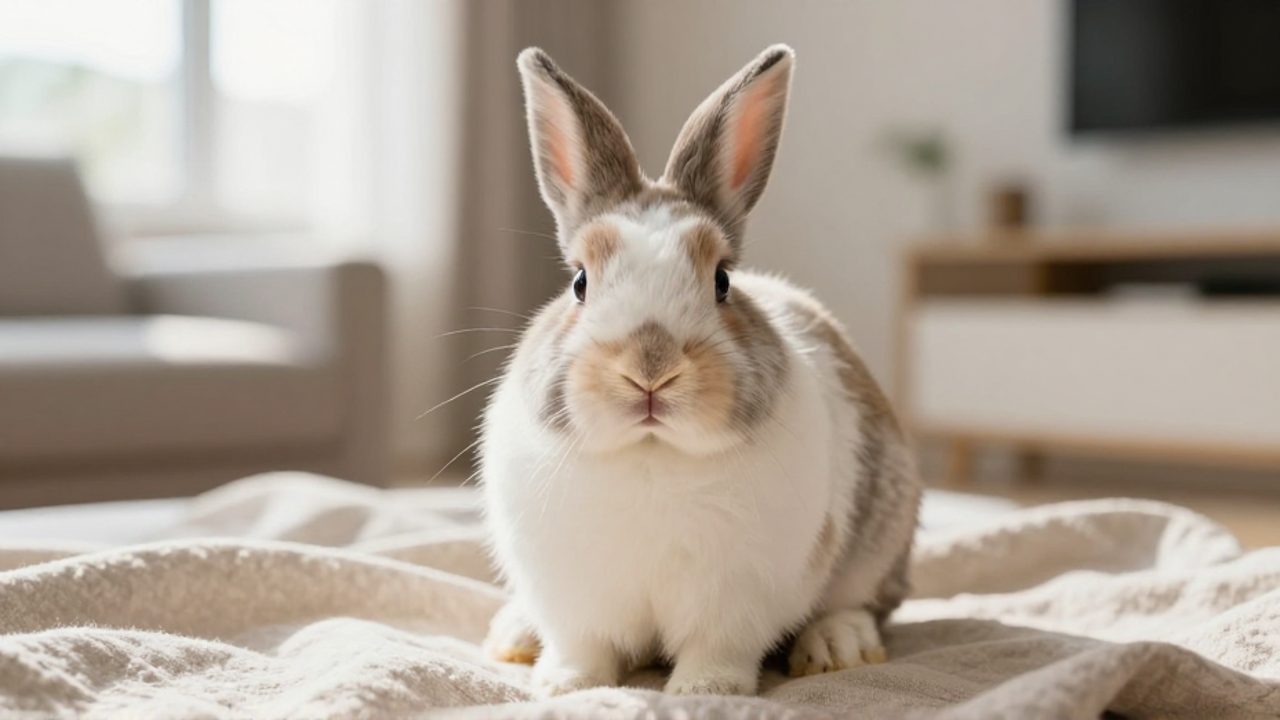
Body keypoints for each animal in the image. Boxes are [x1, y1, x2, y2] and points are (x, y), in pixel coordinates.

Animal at [481, 44, 922, 697]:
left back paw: (835, 646)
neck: (652, 453)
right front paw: (566, 687)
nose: (650, 368)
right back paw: (512, 636)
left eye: (722, 281)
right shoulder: (573, 600)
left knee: (864, 601)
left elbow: (717, 650)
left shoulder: (737, 601)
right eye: (580, 282)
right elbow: (584, 649)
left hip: (884, 532)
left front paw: (705, 693)